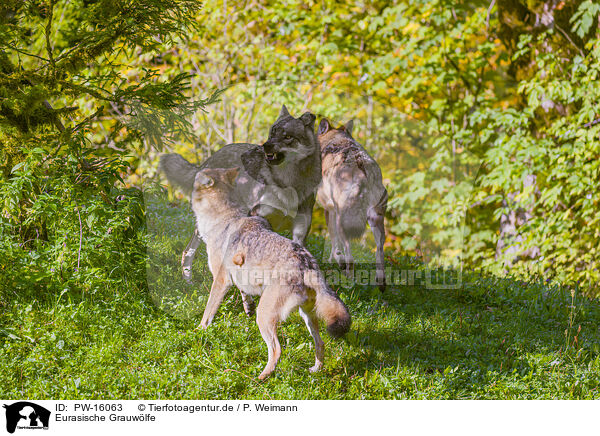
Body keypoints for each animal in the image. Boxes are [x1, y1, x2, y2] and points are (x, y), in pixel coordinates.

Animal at [157, 104, 322, 282]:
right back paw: (189, 282)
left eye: (287, 137)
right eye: (272, 132)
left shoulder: (300, 232)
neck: (288, 183)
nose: (265, 146)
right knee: (188, 251)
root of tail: (210, 159)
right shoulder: (258, 217)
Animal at [191, 166, 352, 378]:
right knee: (321, 343)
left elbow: (208, 312)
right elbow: (244, 293)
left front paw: (198, 331)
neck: (223, 217)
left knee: (277, 350)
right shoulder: (238, 276)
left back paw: (260, 378)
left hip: (265, 317)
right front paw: (247, 307)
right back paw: (315, 371)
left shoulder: (221, 280)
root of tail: (307, 264)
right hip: (307, 316)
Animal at [316, 117, 386, 292]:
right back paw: (381, 283)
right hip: (376, 221)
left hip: (343, 221)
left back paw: (348, 280)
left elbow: (334, 241)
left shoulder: (329, 210)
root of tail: (363, 169)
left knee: (351, 258)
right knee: (379, 251)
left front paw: (333, 260)